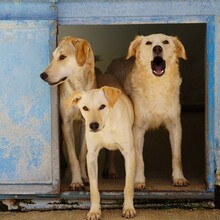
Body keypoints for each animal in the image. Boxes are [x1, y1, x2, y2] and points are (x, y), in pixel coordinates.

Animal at [40, 36, 96, 191]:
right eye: (53, 56)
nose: (42, 75)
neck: (78, 87)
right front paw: (76, 181)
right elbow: (73, 157)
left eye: (62, 57)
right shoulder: (66, 124)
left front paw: (84, 177)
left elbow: (81, 155)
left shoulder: (86, 124)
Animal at [66, 83, 136, 219]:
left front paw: (129, 208)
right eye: (85, 108)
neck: (106, 126)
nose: (93, 126)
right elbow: (94, 189)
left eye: (102, 106)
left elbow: (128, 186)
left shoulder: (129, 154)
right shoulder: (92, 156)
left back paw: (112, 171)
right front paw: (94, 211)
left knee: (111, 154)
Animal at [106, 33, 189, 190]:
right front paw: (138, 181)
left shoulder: (175, 125)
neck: (157, 85)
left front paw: (179, 178)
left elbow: (177, 156)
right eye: (148, 43)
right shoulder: (137, 129)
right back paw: (111, 171)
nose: (157, 48)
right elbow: (139, 159)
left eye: (165, 42)